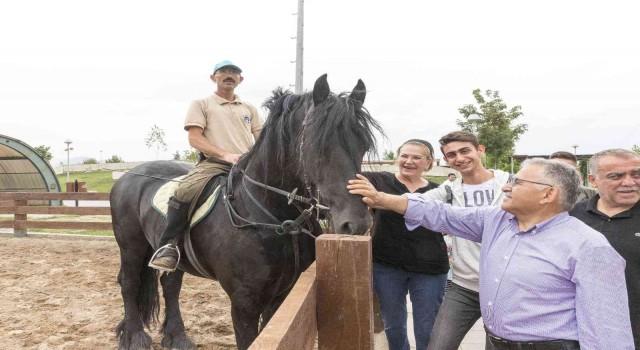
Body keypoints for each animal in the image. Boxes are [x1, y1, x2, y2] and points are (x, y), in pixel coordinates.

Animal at [109, 74, 384, 350]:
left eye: (362, 145)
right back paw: (135, 337)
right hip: (131, 245)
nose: (357, 224)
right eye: (319, 146)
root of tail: (131, 175)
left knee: (170, 285)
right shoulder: (244, 302)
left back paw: (177, 337)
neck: (274, 217)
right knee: (130, 283)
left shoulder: (283, 296)